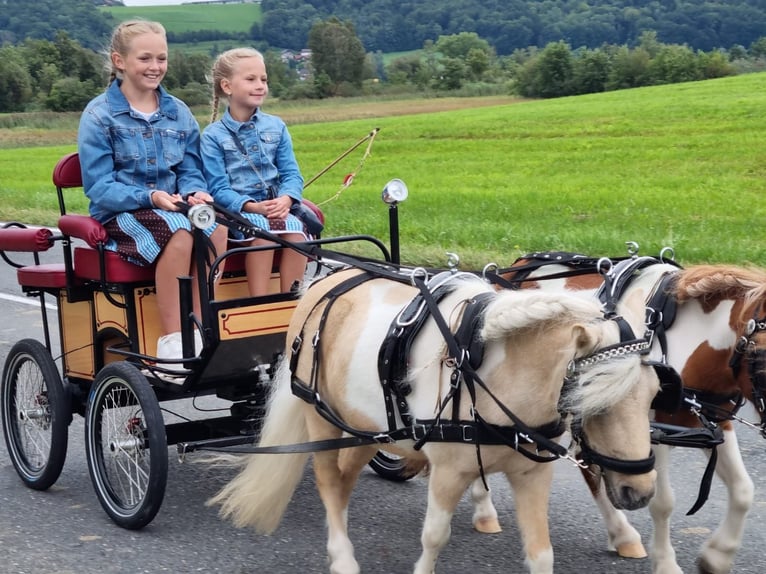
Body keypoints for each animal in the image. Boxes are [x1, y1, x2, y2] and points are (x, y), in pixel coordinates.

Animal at [207, 266, 664, 574]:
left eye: (654, 396)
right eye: (595, 401)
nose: (640, 491)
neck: (490, 371)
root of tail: (321, 284)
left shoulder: (531, 476)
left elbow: (541, 553)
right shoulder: (447, 473)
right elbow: (434, 537)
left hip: (364, 428)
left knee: (344, 477)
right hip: (321, 417)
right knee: (328, 481)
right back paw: (342, 557)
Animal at [474, 256, 766, 574]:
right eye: (761, 361)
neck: (688, 339)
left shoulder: (716, 422)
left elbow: (743, 490)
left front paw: (717, 556)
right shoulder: (649, 431)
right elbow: (662, 502)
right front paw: (666, 562)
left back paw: (621, 533)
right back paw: (484, 506)